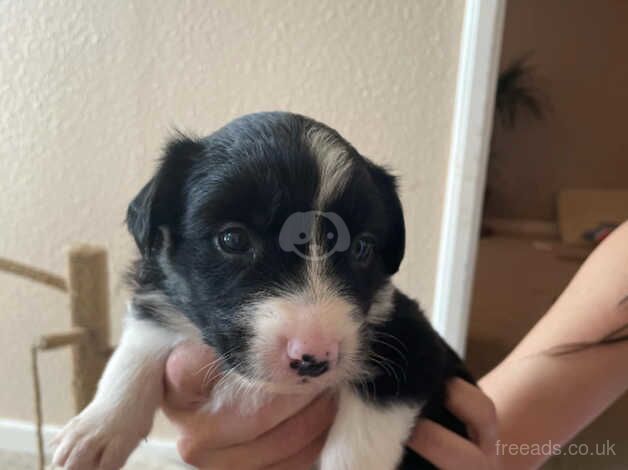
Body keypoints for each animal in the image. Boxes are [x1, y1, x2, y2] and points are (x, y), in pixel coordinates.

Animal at [52, 112, 472, 468]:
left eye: (362, 248)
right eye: (233, 238)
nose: (314, 357)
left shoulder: (413, 345)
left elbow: (358, 447)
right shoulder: (162, 300)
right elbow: (134, 355)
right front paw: (95, 431)